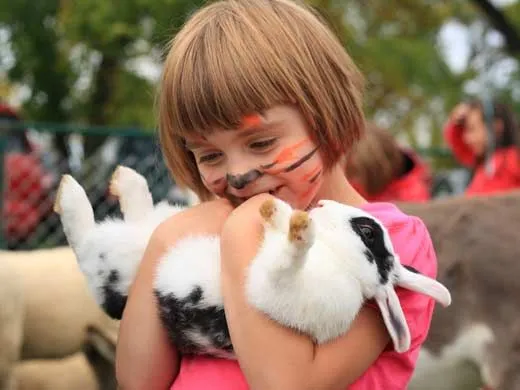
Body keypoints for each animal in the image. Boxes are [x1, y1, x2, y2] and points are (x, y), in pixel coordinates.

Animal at [54, 166, 448, 358]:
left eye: (367, 232)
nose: (320, 205)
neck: (341, 263)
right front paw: (280, 212)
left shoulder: (279, 284)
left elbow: (285, 261)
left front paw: (300, 230)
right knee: (141, 212)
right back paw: (127, 179)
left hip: (114, 262)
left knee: (84, 239)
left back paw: (70, 193)